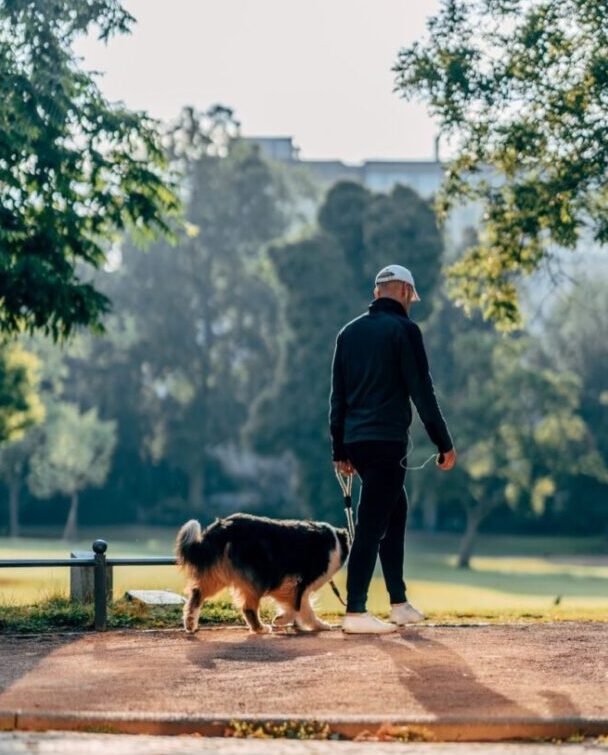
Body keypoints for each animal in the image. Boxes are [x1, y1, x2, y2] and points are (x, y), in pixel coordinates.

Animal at [176, 512, 350, 632]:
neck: (336, 541)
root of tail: (223, 527)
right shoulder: (294, 582)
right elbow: (299, 607)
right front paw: (282, 620)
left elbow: (303, 607)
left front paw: (313, 624)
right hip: (255, 576)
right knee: (248, 607)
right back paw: (261, 628)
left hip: (219, 574)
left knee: (197, 594)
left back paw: (190, 623)